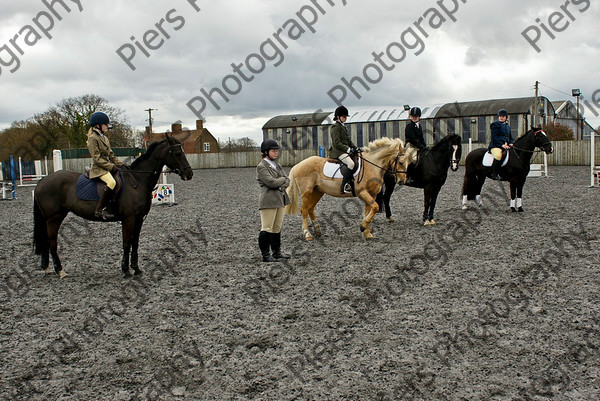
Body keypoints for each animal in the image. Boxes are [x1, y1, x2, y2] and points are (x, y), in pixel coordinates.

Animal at [32, 134, 193, 278]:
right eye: (178, 153)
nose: (189, 174)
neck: (138, 181)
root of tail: (42, 181)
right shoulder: (129, 218)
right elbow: (126, 243)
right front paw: (126, 270)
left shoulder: (139, 218)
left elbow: (135, 242)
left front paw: (136, 269)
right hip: (54, 218)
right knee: (52, 242)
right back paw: (60, 271)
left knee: (46, 241)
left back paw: (47, 268)